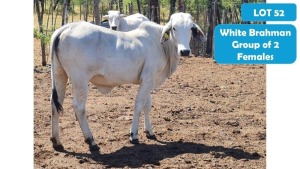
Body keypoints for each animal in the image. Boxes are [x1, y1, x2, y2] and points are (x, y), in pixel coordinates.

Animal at [50, 12, 207, 151]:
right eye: (174, 28)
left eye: (191, 28)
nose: (185, 51)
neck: (161, 45)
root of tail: (65, 28)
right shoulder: (148, 79)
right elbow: (138, 105)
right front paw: (134, 135)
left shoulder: (148, 81)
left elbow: (147, 106)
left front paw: (149, 132)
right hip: (80, 80)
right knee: (79, 107)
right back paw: (91, 141)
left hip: (59, 75)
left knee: (54, 104)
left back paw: (57, 142)